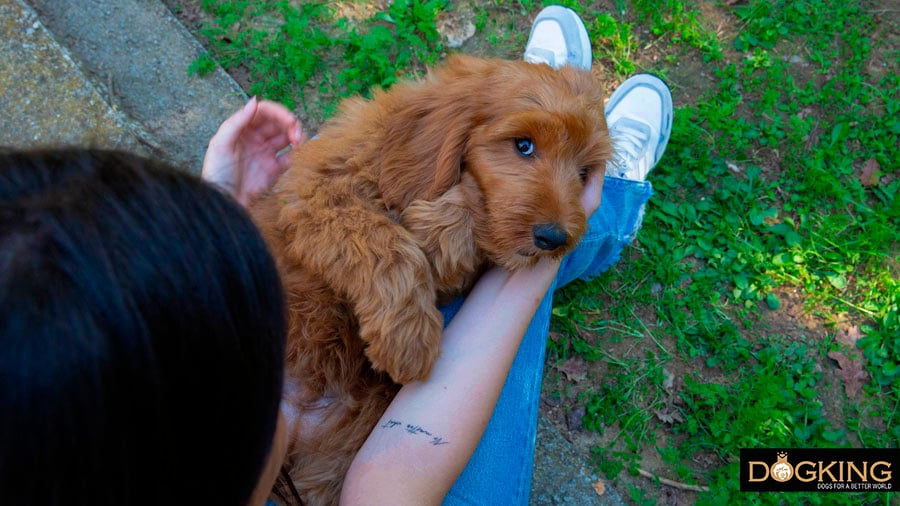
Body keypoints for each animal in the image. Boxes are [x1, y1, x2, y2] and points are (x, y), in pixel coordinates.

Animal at [253, 53, 612, 504]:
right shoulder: (317, 195)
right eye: (524, 145)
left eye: (583, 173)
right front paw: (409, 340)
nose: (555, 239)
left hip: (333, 461)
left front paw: (440, 226)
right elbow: (384, 240)